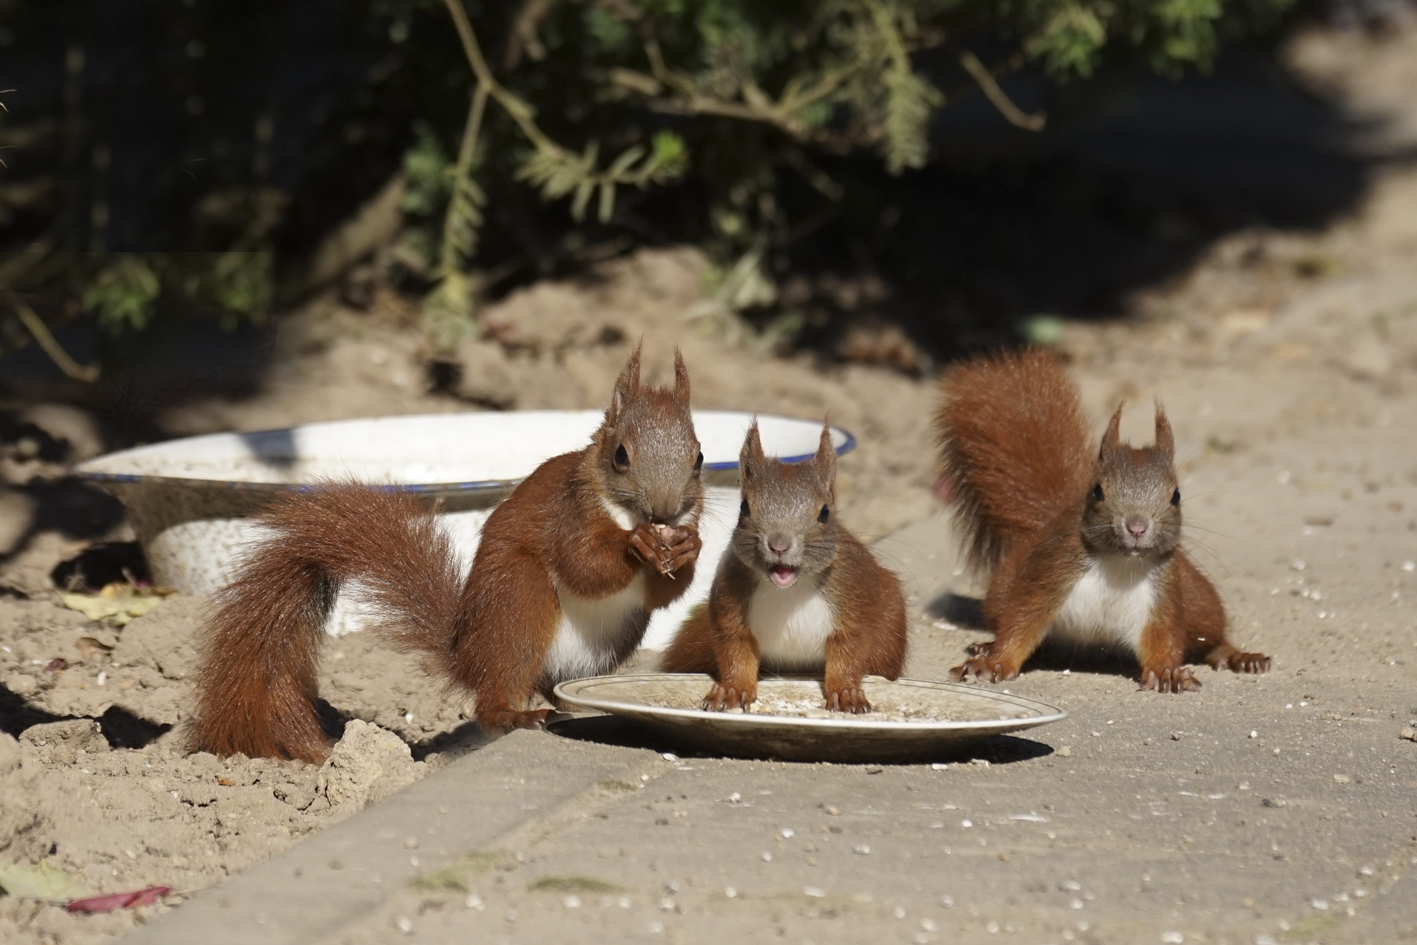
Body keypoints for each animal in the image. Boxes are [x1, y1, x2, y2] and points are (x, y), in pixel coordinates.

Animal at [185, 347, 705, 759]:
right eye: (620, 456)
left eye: (699, 457)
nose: (665, 510)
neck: (628, 515)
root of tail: (467, 657)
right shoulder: (569, 515)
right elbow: (584, 566)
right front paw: (635, 545)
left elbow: (663, 593)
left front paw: (689, 549)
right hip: (517, 601)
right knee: (494, 699)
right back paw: (517, 715)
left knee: (545, 686)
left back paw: (564, 707)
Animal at [660, 416, 906, 714]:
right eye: (744, 508)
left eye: (825, 512)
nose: (779, 545)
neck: (789, 592)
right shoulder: (729, 606)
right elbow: (735, 652)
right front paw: (732, 689)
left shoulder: (855, 602)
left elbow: (849, 654)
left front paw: (847, 692)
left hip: (890, 631)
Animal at [935, 351, 1269, 691]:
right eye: (1097, 491)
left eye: (1175, 495)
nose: (1136, 527)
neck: (1119, 562)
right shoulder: (1051, 574)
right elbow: (1020, 622)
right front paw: (993, 662)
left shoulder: (1163, 594)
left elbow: (1163, 638)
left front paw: (1166, 673)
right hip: (1002, 589)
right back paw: (986, 645)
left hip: (1198, 600)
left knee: (1210, 635)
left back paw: (1237, 656)